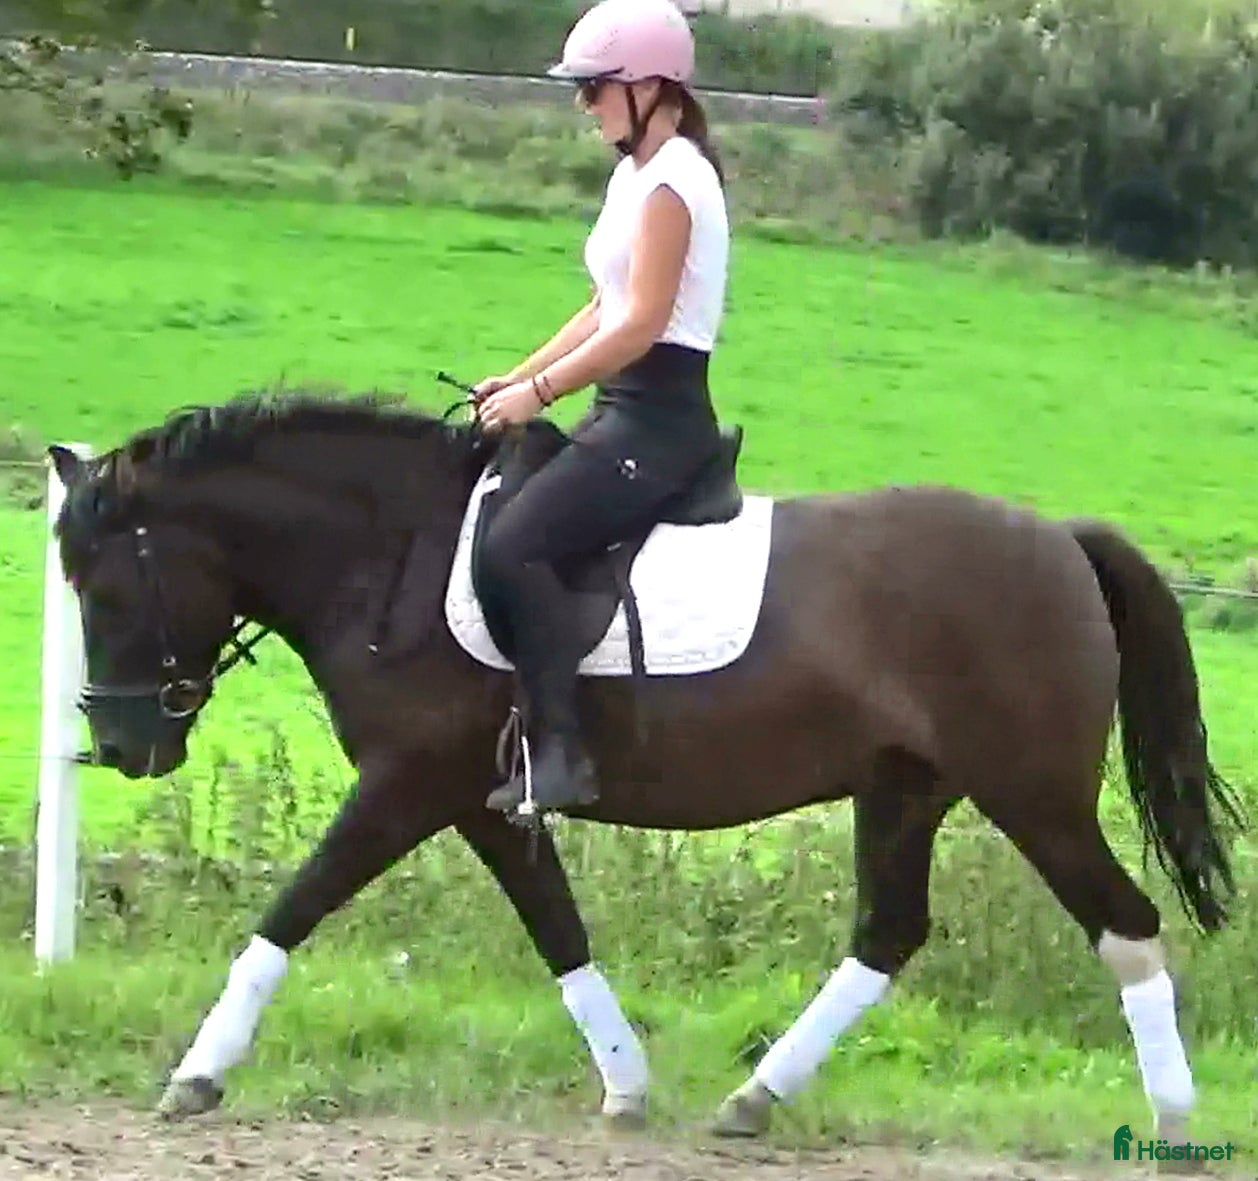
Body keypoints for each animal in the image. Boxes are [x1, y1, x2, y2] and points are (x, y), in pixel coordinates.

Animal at [47, 385, 1244, 1152]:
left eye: (102, 588)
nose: (121, 746)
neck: (393, 555)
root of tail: (1060, 539)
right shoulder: (488, 802)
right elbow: (559, 930)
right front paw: (625, 1085)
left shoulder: (406, 785)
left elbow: (290, 909)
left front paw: (198, 1071)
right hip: (906, 786)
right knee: (889, 932)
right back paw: (754, 1097)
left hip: (1031, 793)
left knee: (1123, 921)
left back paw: (1175, 1116)